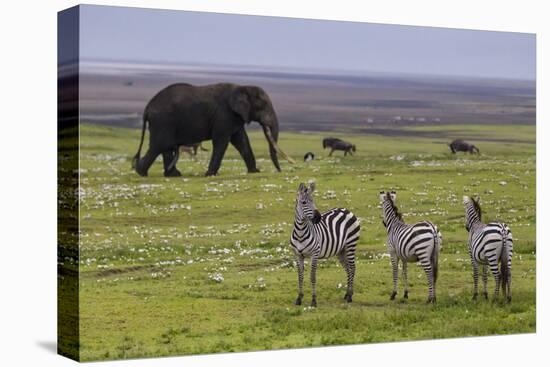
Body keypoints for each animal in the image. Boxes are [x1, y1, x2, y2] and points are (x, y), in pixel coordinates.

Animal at [132, 83, 296, 177]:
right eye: (262, 106)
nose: (280, 171)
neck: (241, 87)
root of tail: (147, 108)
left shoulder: (234, 117)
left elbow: (241, 141)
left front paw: (254, 172)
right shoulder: (224, 114)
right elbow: (222, 141)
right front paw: (210, 174)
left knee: (164, 147)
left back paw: (172, 175)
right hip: (163, 121)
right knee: (159, 145)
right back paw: (141, 172)